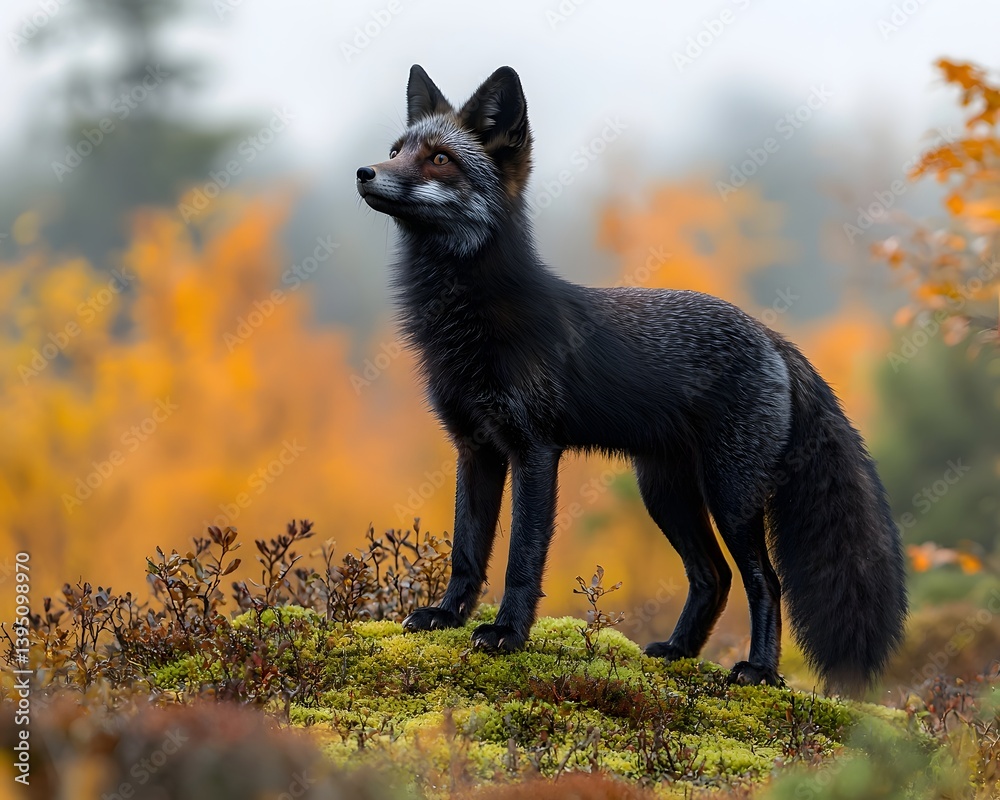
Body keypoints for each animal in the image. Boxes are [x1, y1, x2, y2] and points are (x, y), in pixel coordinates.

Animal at [356, 64, 907, 694]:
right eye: (397, 150)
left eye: (440, 159)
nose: (365, 171)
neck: (468, 321)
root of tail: (772, 336)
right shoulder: (475, 448)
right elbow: (466, 552)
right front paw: (447, 617)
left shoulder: (534, 450)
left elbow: (522, 559)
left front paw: (507, 635)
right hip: (665, 492)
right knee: (713, 576)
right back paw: (678, 651)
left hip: (730, 494)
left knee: (764, 580)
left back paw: (759, 671)